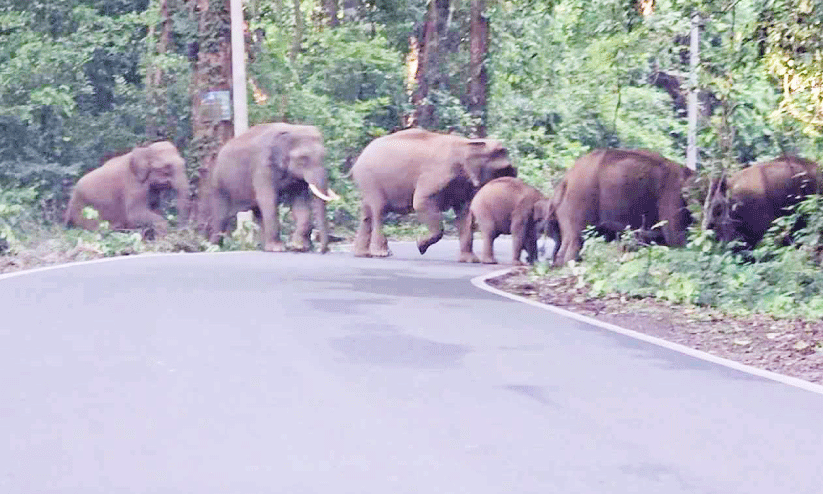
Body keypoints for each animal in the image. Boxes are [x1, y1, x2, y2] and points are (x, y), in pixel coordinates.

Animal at [207, 122, 339, 253]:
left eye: (325, 156)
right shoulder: (262, 167)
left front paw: (299, 247)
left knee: (258, 213)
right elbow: (268, 199)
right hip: (219, 186)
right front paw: (279, 249)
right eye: (303, 159)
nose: (322, 250)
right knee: (221, 217)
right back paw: (213, 248)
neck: (292, 129)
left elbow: (300, 203)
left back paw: (265, 247)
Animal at [351, 128, 517, 260]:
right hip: (370, 179)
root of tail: (358, 159)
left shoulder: (463, 185)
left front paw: (470, 260)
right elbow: (420, 202)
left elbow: (464, 214)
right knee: (379, 210)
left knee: (367, 213)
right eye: (502, 171)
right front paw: (420, 246)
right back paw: (382, 253)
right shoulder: (437, 172)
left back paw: (362, 254)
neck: (467, 143)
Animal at [549, 148, 694, 266]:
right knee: (577, 238)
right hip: (581, 199)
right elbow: (674, 236)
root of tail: (566, 179)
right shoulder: (672, 195)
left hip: (565, 209)